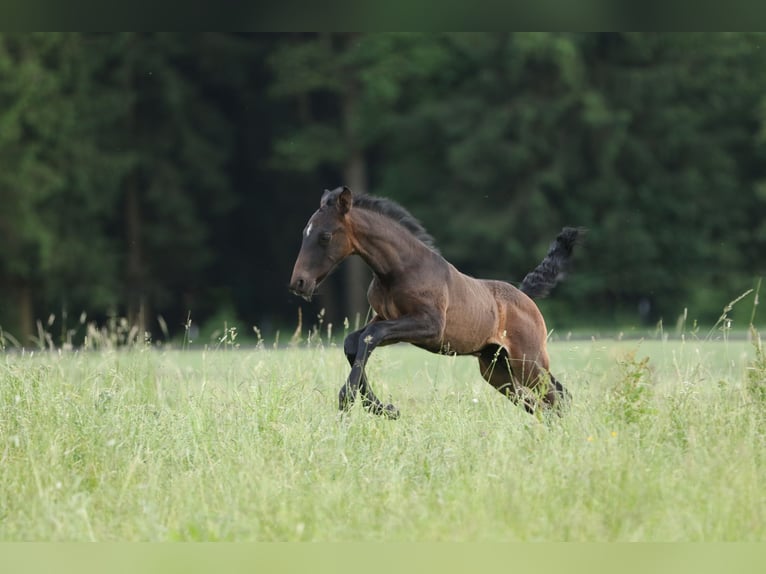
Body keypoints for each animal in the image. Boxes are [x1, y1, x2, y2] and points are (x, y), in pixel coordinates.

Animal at [290, 188, 584, 418]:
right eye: (304, 233)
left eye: (325, 236)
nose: (299, 283)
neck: (399, 269)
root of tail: (525, 296)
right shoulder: (386, 318)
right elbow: (355, 340)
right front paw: (381, 407)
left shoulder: (430, 325)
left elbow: (370, 336)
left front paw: (352, 398)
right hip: (499, 370)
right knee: (548, 400)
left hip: (527, 361)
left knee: (556, 398)